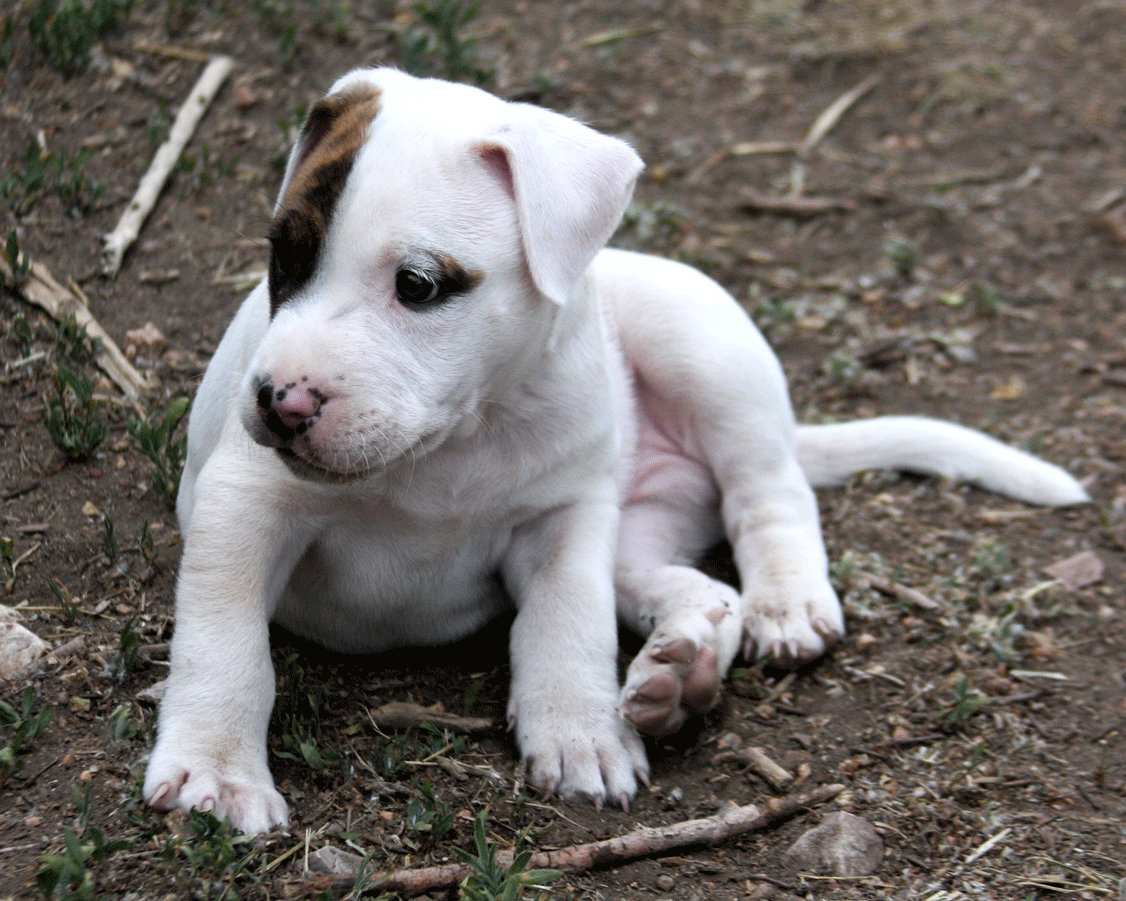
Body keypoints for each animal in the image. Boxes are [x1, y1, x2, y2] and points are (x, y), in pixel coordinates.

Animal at [143, 67, 1089, 833]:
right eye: (284, 256)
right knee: (703, 586)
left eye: (418, 285)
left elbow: (568, 625)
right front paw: (218, 772)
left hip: (701, 346)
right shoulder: (246, 500)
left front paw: (579, 733)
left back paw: (781, 604)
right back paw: (683, 668)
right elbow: (227, 639)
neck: (455, 438)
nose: (281, 403)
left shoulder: (565, 522)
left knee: (769, 494)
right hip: (638, 526)